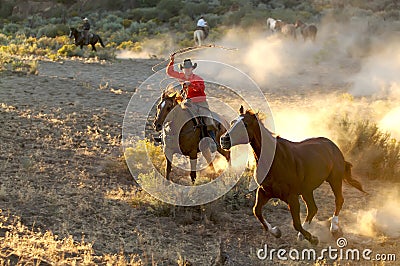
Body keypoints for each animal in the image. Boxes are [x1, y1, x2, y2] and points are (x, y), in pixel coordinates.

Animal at [222, 106, 366, 245]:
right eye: (232, 122)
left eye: (245, 124)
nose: (224, 139)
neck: (275, 160)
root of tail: (333, 146)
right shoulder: (264, 191)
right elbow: (256, 211)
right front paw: (276, 232)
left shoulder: (291, 197)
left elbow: (296, 223)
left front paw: (313, 239)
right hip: (307, 190)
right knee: (313, 208)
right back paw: (304, 235)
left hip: (334, 179)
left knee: (338, 200)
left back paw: (334, 229)